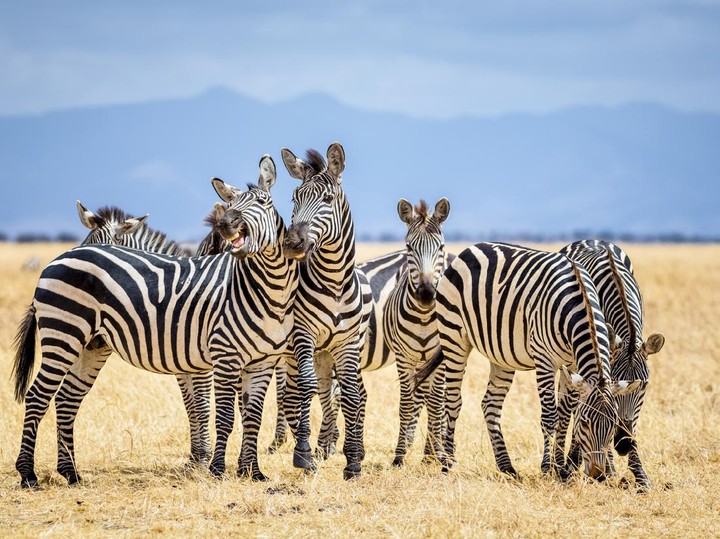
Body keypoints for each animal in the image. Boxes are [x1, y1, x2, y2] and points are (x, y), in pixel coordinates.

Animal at [11, 154, 294, 488]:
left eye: (263, 202)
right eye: (232, 204)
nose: (227, 224)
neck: (265, 288)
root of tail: (56, 260)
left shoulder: (258, 361)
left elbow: (249, 414)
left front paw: (250, 471)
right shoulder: (219, 356)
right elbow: (214, 411)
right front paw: (212, 466)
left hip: (91, 345)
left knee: (67, 399)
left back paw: (71, 472)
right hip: (63, 334)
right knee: (38, 396)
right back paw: (28, 474)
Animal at [278, 143, 368, 480]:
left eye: (328, 200)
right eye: (295, 198)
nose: (292, 243)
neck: (334, 282)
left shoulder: (347, 343)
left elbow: (351, 394)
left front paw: (353, 460)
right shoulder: (303, 335)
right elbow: (306, 388)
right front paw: (303, 453)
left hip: (327, 353)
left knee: (333, 393)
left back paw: (333, 446)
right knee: (300, 393)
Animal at [382, 198, 450, 468]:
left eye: (440, 247)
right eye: (410, 248)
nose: (426, 294)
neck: (423, 316)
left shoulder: (441, 359)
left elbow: (436, 404)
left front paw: (437, 454)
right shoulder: (403, 358)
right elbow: (407, 403)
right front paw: (399, 455)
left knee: (438, 401)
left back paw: (433, 450)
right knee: (419, 396)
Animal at [416, 244, 640, 480]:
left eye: (613, 424)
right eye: (585, 423)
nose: (598, 475)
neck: (579, 304)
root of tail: (470, 249)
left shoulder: (571, 365)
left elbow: (564, 415)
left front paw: (561, 469)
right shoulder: (544, 360)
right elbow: (550, 416)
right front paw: (547, 468)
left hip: (501, 355)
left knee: (490, 404)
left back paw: (506, 466)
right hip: (454, 338)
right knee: (453, 400)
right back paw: (448, 463)